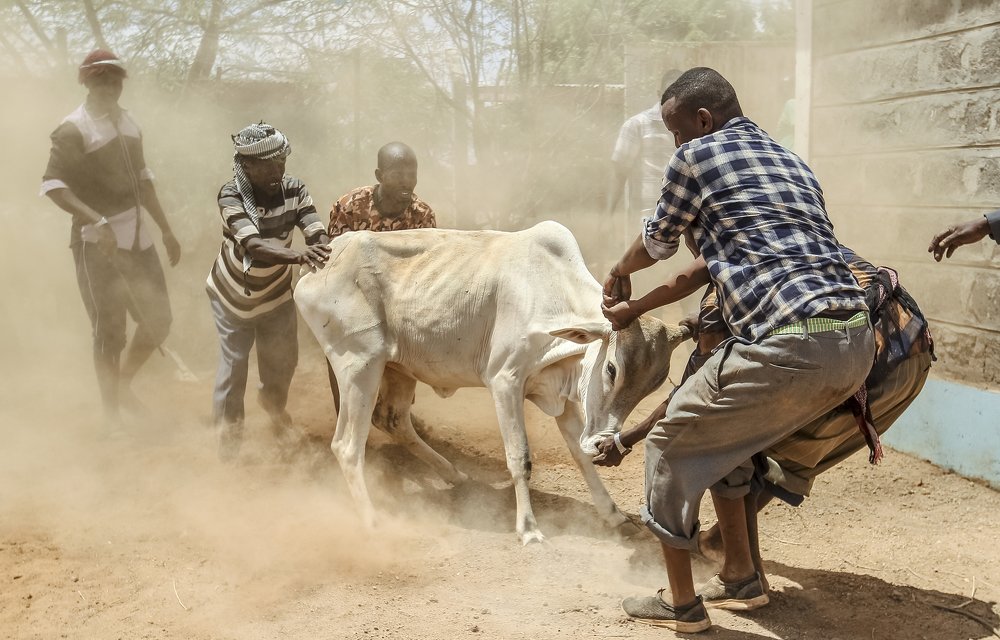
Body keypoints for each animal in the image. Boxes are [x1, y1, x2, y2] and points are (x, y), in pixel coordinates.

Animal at [293, 220, 689, 544]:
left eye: (652, 386)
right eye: (611, 369)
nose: (604, 442)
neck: (548, 292)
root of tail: (320, 263)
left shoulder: (563, 397)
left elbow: (579, 456)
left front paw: (613, 516)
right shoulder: (505, 382)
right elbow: (520, 458)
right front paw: (529, 530)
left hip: (397, 368)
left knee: (392, 420)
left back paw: (454, 474)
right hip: (360, 366)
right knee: (347, 446)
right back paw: (373, 522)